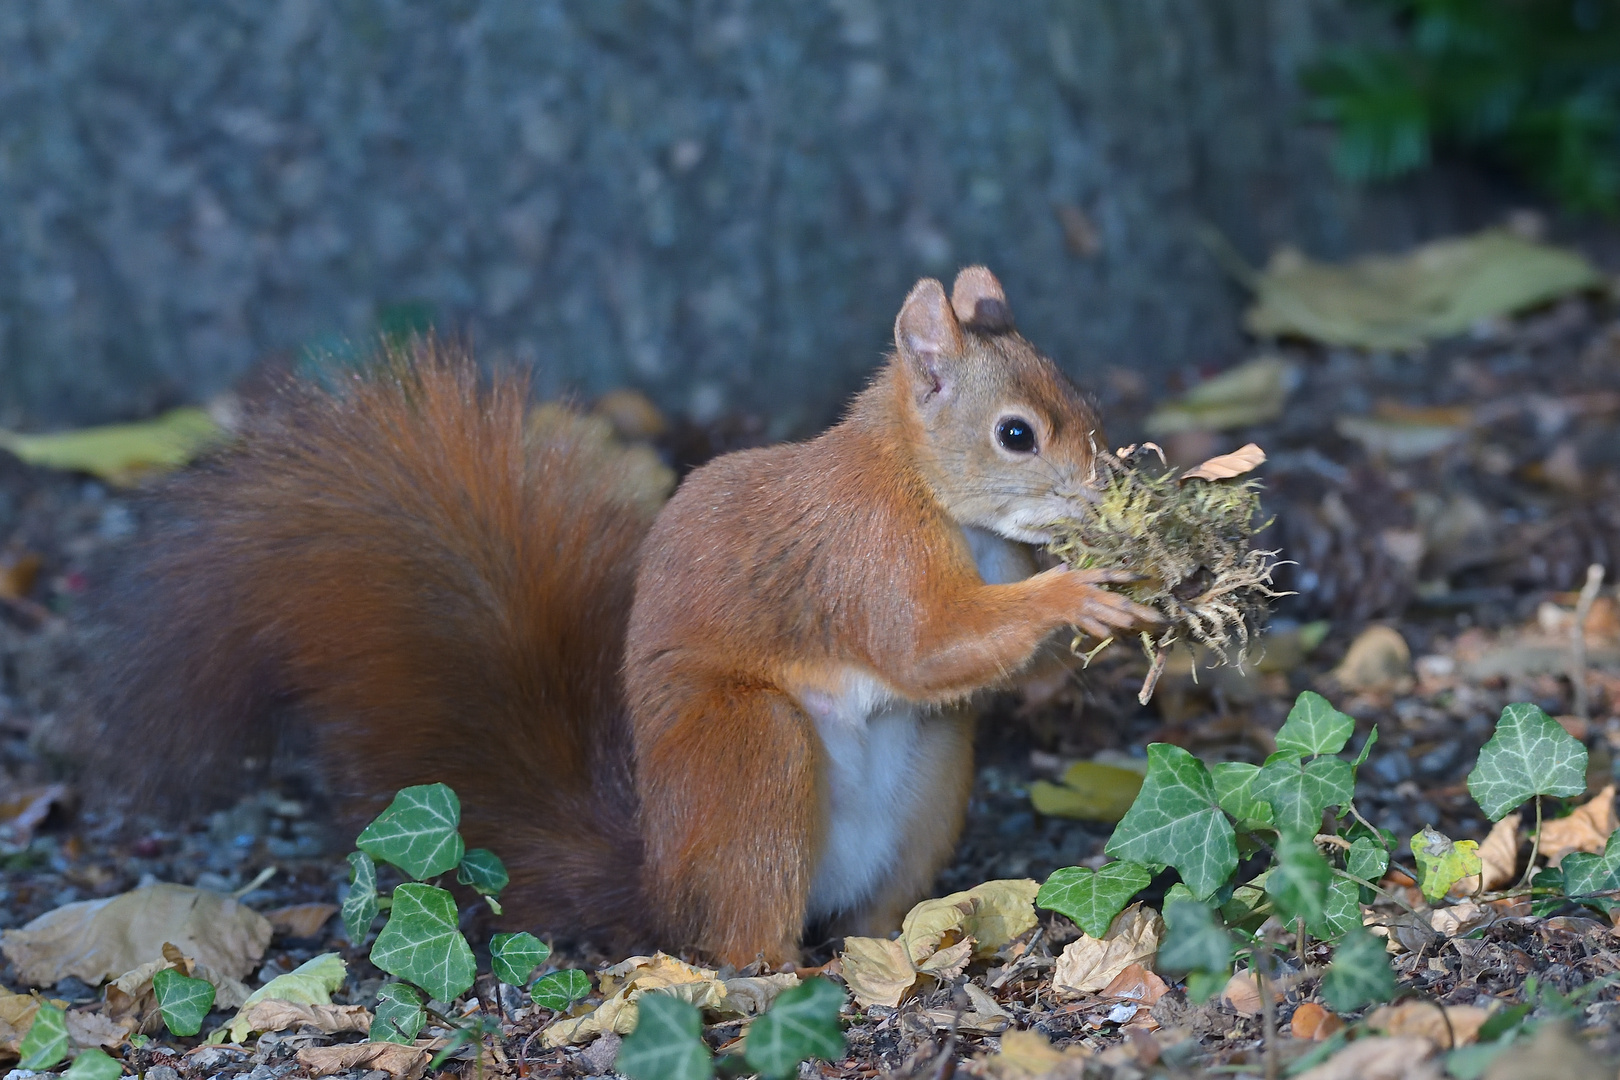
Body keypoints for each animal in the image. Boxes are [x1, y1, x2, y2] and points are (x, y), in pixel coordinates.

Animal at [98, 265, 1153, 965]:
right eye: (1016, 434)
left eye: (1083, 395)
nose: (1108, 493)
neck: (930, 492)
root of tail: (659, 889)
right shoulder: (865, 552)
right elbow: (923, 644)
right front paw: (1078, 592)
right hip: (751, 759)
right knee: (739, 942)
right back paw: (781, 981)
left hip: (935, 772)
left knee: (869, 901)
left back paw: (900, 945)